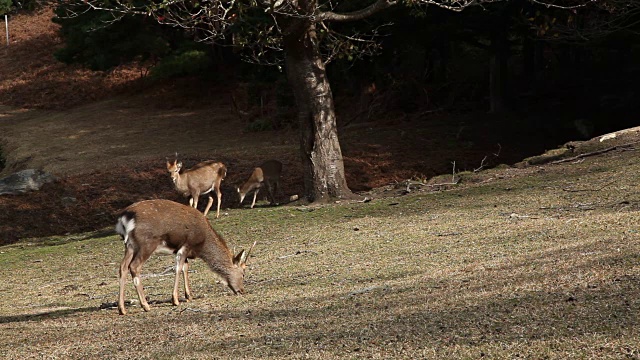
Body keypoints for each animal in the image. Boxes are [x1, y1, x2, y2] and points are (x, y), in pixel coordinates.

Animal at [115, 200, 255, 316]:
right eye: (243, 273)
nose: (242, 290)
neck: (202, 244)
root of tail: (124, 218)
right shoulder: (186, 245)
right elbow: (178, 268)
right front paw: (175, 300)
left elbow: (185, 268)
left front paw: (188, 296)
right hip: (146, 243)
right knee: (134, 266)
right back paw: (145, 305)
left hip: (130, 245)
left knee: (123, 267)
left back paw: (122, 308)